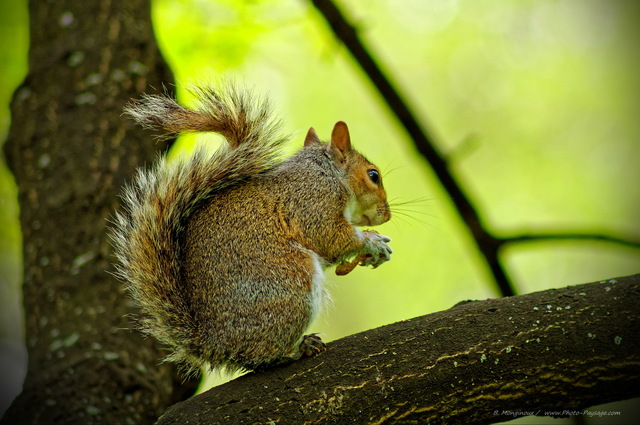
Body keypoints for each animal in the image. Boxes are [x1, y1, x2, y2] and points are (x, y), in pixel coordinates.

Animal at [112, 83, 392, 374]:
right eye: (373, 175)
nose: (387, 214)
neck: (326, 173)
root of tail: (213, 343)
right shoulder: (312, 203)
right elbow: (331, 238)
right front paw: (373, 243)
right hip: (291, 284)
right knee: (262, 354)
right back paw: (295, 349)